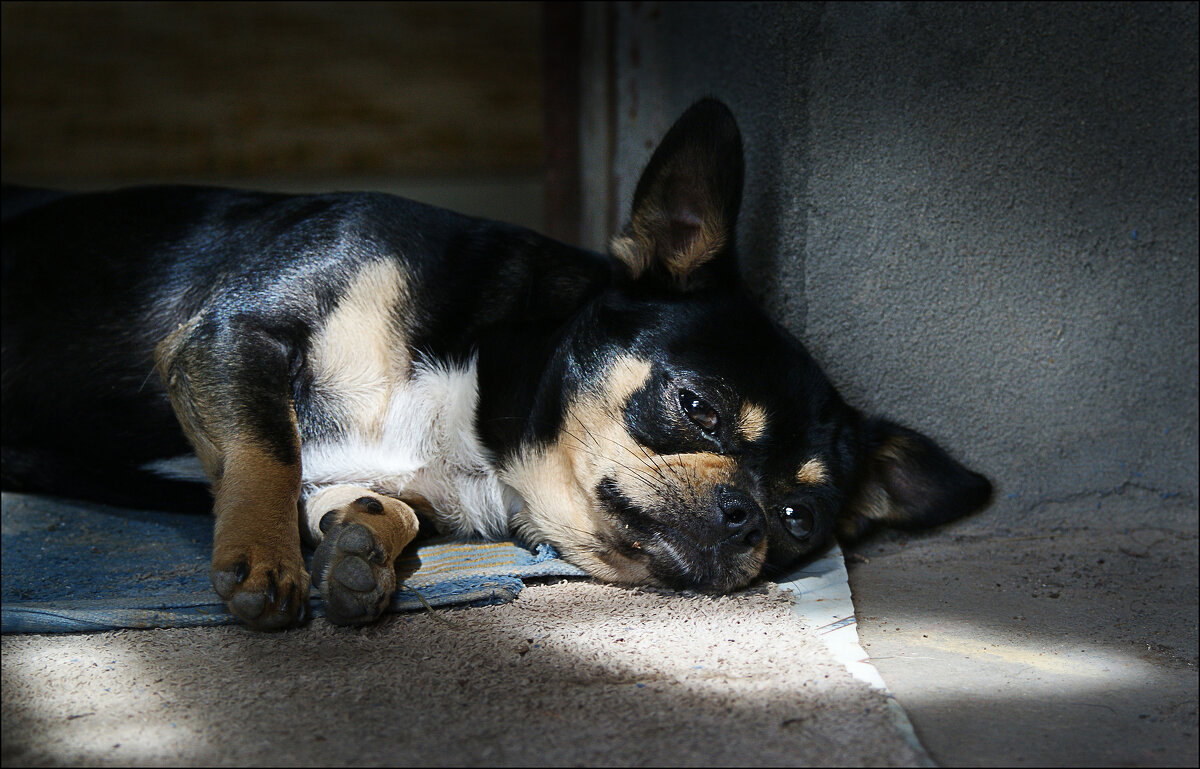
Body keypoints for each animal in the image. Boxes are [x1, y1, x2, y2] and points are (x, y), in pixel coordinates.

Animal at [0, 100, 993, 628]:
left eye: (799, 518)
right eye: (699, 407)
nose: (745, 514)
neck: (480, 424)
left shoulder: (369, 468)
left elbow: (373, 502)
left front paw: (360, 547)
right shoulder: (233, 332)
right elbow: (268, 450)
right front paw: (263, 558)